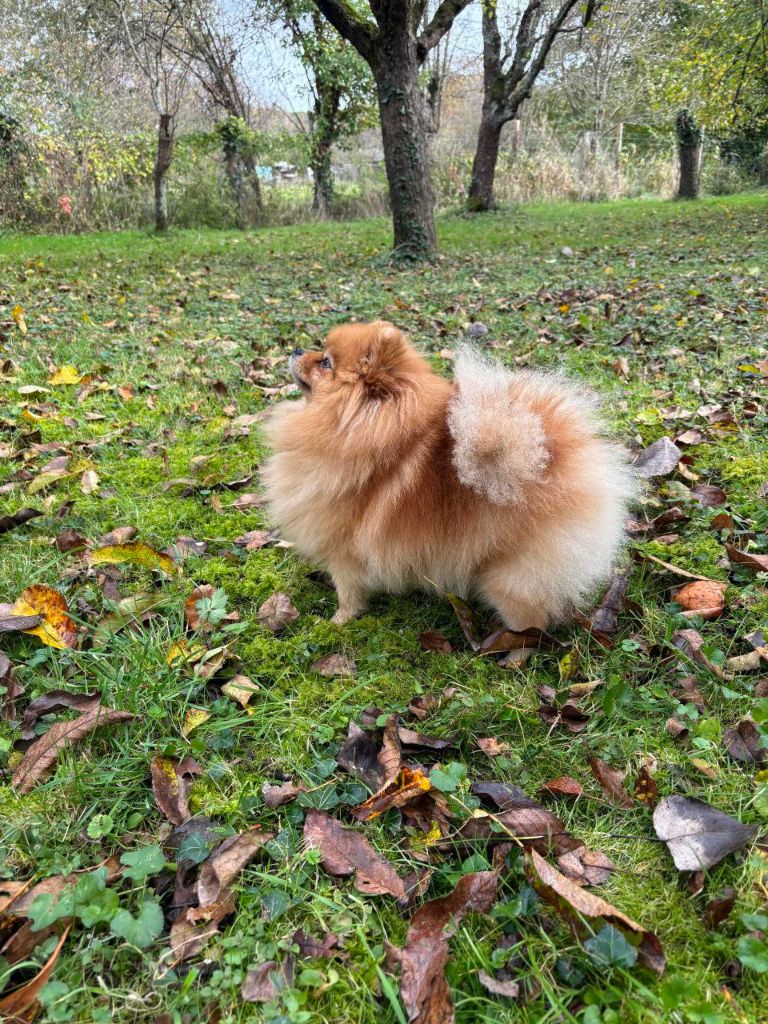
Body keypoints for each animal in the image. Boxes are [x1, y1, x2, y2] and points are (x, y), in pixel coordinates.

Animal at [263, 321, 634, 630]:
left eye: (325, 362)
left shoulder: (345, 551)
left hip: (509, 578)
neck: (352, 431)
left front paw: (337, 622)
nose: (297, 349)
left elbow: (348, 592)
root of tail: (560, 461)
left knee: (533, 622)